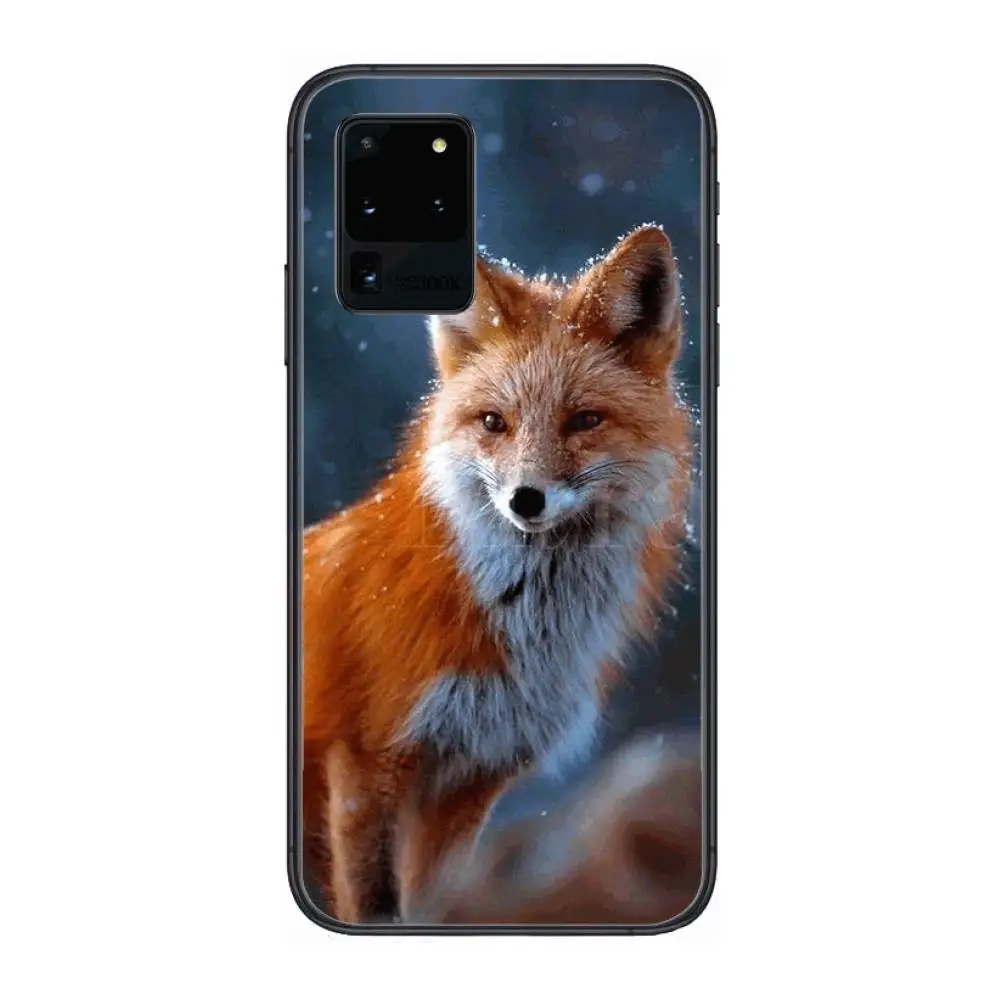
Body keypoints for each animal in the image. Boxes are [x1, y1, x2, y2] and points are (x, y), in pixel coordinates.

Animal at [302, 223, 692, 923]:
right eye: (493, 423)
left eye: (584, 420)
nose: (526, 500)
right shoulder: (367, 762)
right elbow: (378, 907)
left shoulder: (472, 780)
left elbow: (435, 907)